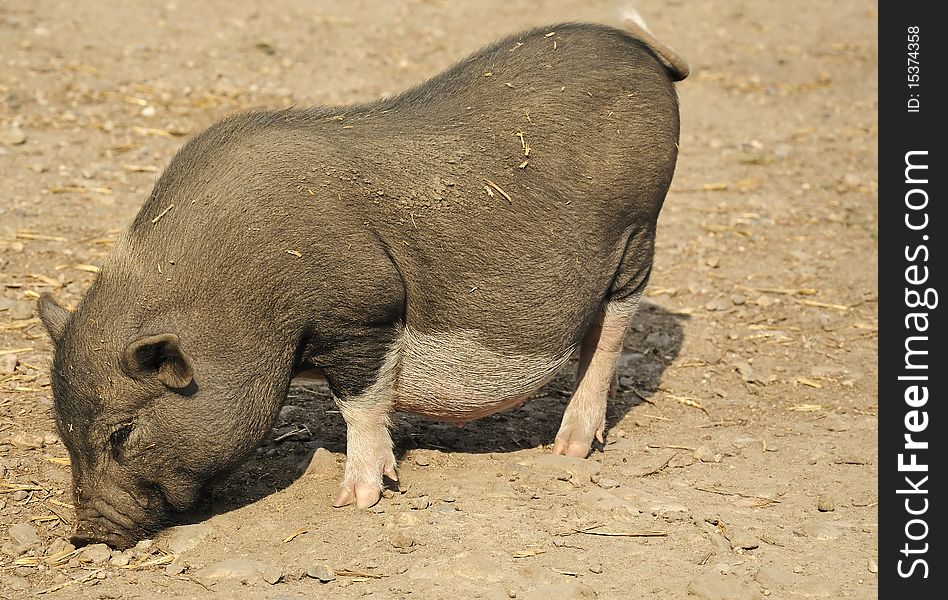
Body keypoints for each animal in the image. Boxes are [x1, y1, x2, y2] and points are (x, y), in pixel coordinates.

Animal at [37, 18, 688, 548]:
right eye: (64, 431)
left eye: (122, 432)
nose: (85, 535)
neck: (241, 302)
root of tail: (643, 50)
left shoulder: (365, 312)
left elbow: (360, 404)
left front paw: (356, 500)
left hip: (639, 234)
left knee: (611, 329)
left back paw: (569, 448)